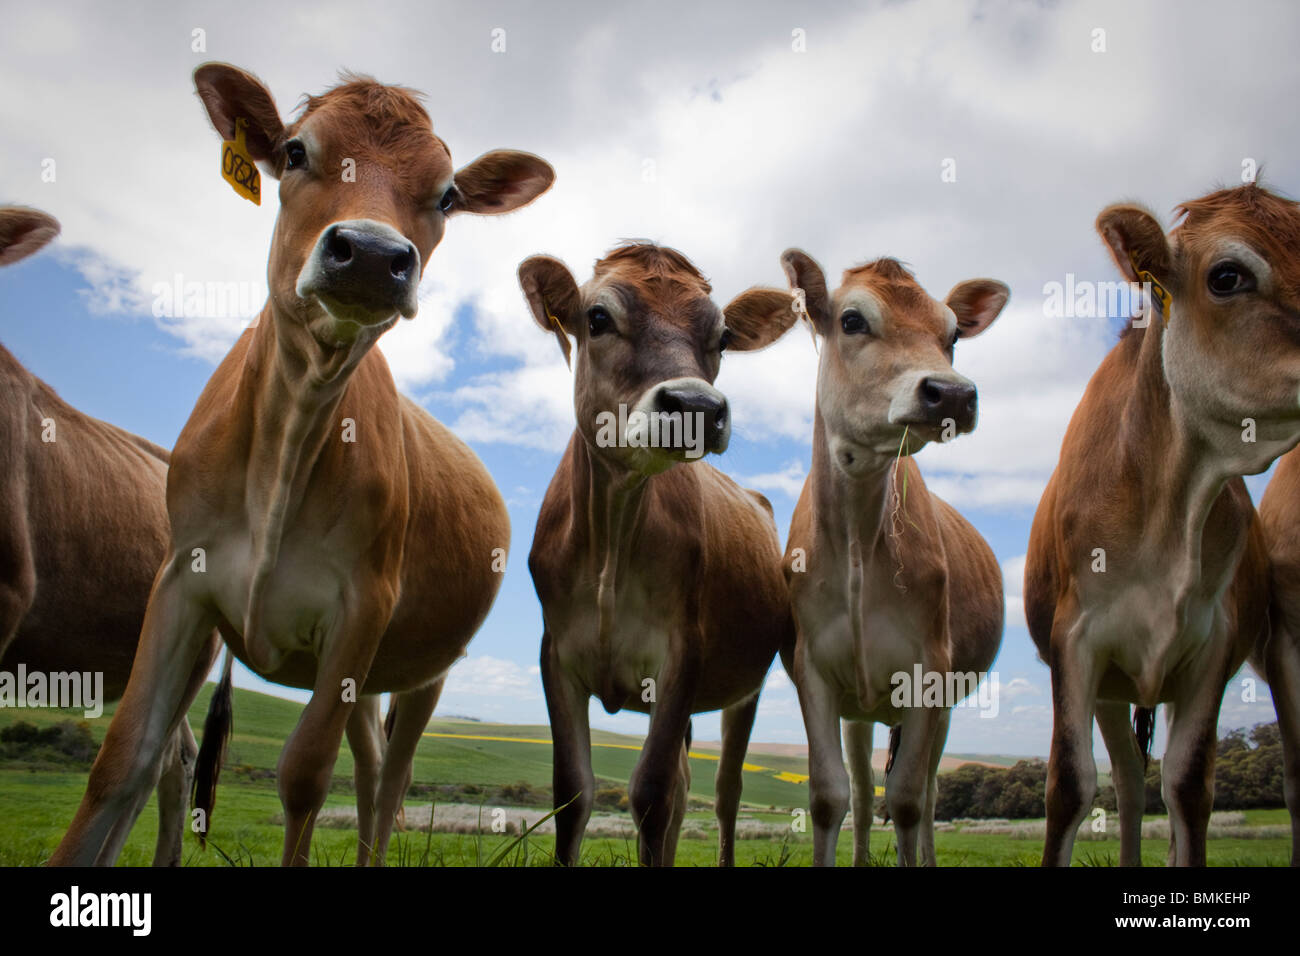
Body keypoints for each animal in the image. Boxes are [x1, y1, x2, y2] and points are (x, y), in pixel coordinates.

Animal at [52, 59, 553, 868]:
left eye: (447, 194)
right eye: (294, 151)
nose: (375, 255)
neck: (284, 450)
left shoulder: (360, 610)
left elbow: (305, 778)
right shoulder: (181, 582)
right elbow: (123, 761)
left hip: (423, 666)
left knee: (391, 777)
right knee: (374, 765)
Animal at [522, 240, 795, 868]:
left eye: (723, 336)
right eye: (597, 317)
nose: (695, 405)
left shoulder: (682, 657)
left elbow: (649, 792)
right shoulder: (556, 655)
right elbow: (572, 792)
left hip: (750, 686)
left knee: (722, 791)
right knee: (685, 785)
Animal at [733, 251, 1003, 863]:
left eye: (954, 335)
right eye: (853, 319)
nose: (952, 393)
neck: (857, 543)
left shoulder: (932, 670)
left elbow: (905, 800)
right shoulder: (814, 670)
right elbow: (831, 795)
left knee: (928, 793)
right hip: (861, 706)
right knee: (859, 791)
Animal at [1024, 183, 1300, 868]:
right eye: (1227, 276)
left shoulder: (1211, 647)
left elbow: (1189, 785)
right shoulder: (1077, 644)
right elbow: (1071, 786)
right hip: (1113, 687)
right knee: (1125, 779)